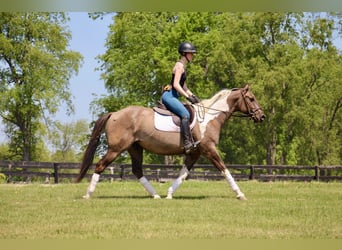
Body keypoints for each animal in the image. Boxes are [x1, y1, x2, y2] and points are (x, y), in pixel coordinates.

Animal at [76, 84, 266, 201]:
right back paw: (87, 194)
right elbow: (224, 170)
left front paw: (169, 193)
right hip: (116, 149)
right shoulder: (209, 149)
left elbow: (183, 174)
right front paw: (240, 194)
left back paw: (155, 195)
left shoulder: (195, 152)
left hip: (134, 148)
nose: (261, 116)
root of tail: (114, 113)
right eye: (251, 98)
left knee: (137, 170)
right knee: (100, 165)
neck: (210, 117)